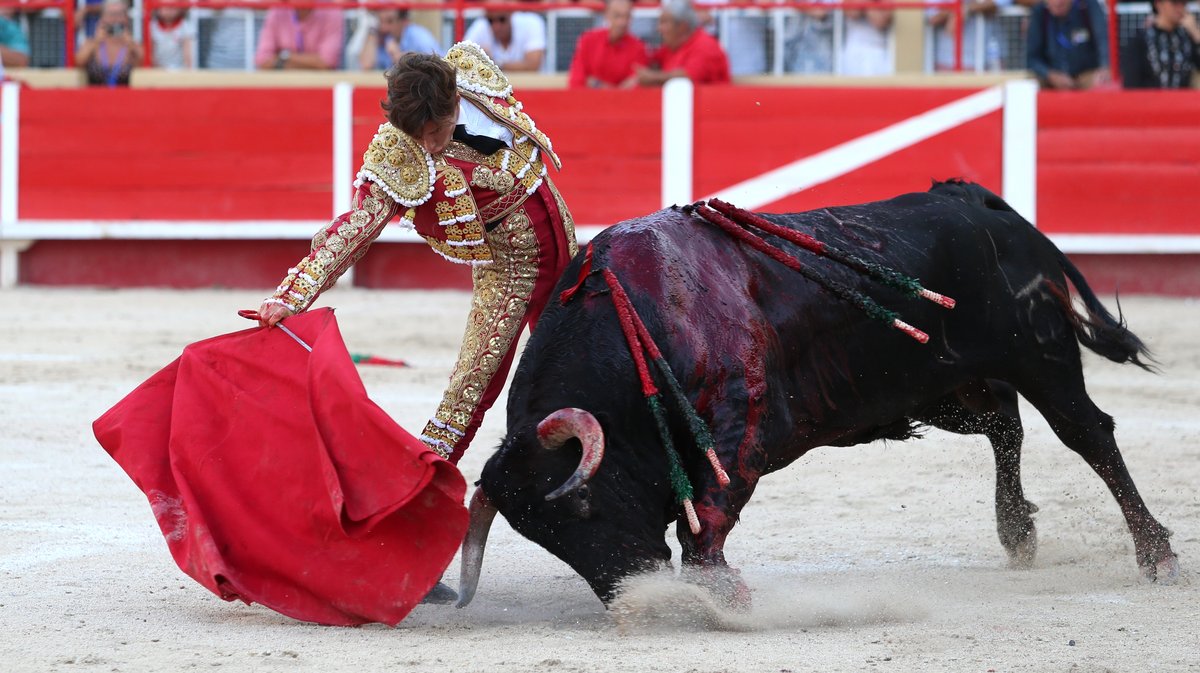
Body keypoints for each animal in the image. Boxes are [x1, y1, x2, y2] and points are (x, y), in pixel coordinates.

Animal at [453, 181, 1176, 607]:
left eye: (581, 507)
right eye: (541, 535)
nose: (634, 598)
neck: (640, 318)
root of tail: (980, 202)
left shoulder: (740, 424)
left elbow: (709, 509)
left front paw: (721, 592)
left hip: (1041, 354)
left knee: (1089, 434)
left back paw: (1157, 555)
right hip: (934, 389)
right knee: (1004, 422)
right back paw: (1018, 531)